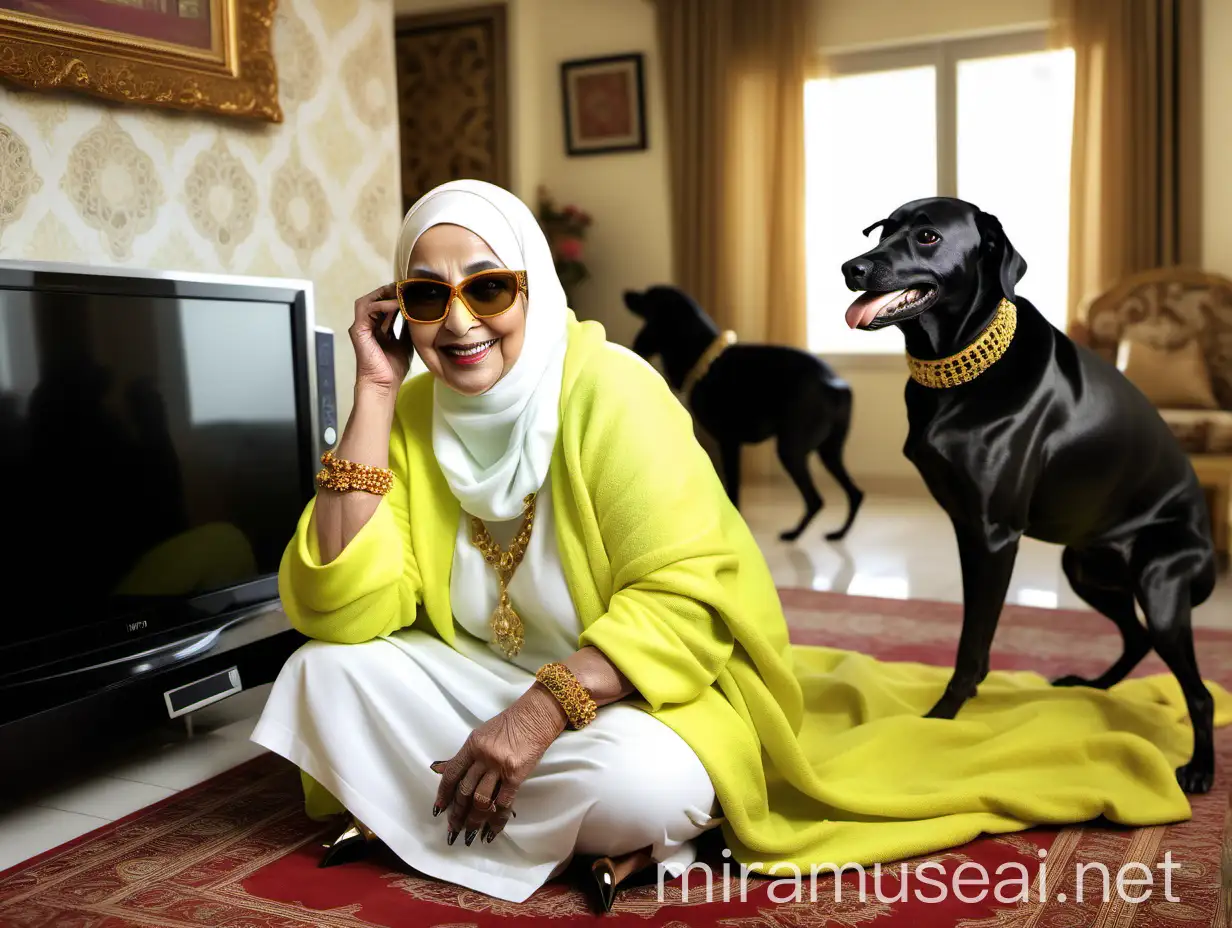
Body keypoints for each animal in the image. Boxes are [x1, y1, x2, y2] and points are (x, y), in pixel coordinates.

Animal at [625, 285, 867, 539]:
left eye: (648, 296)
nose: (626, 293)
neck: (706, 357)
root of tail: (834, 384)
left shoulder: (728, 443)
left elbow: (732, 489)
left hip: (790, 450)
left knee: (815, 499)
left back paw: (795, 534)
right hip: (829, 452)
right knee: (854, 494)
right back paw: (836, 534)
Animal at [842, 195, 1217, 788]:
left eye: (927, 236)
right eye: (882, 230)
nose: (850, 269)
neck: (956, 368)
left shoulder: (995, 536)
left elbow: (973, 642)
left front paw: (942, 717)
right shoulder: (967, 527)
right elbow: (973, 630)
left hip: (1160, 585)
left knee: (1198, 692)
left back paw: (1200, 768)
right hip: (1084, 567)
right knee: (1135, 638)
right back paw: (1092, 687)